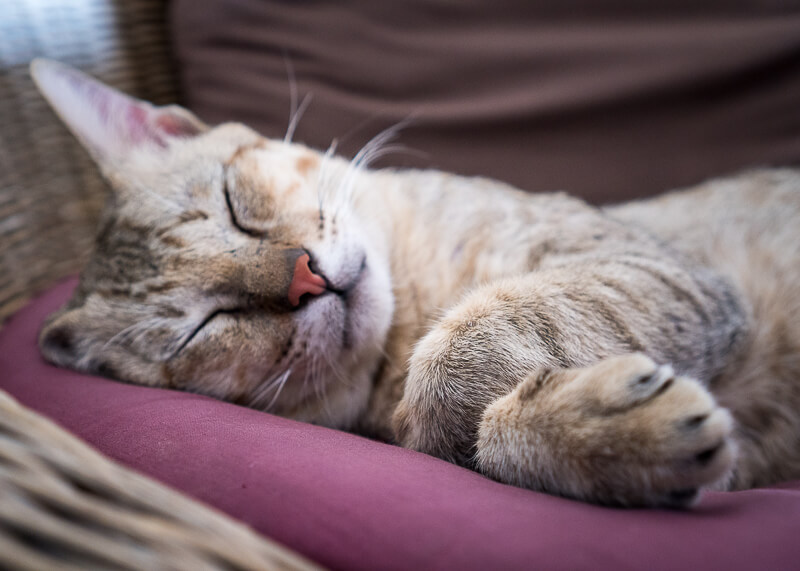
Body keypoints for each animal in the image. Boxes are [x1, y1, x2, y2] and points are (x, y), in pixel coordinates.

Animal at [31, 59, 800, 510]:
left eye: (233, 206)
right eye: (207, 324)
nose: (304, 278)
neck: (415, 307)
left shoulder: (656, 265)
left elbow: (458, 354)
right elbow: (455, 431)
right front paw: (603, 437)